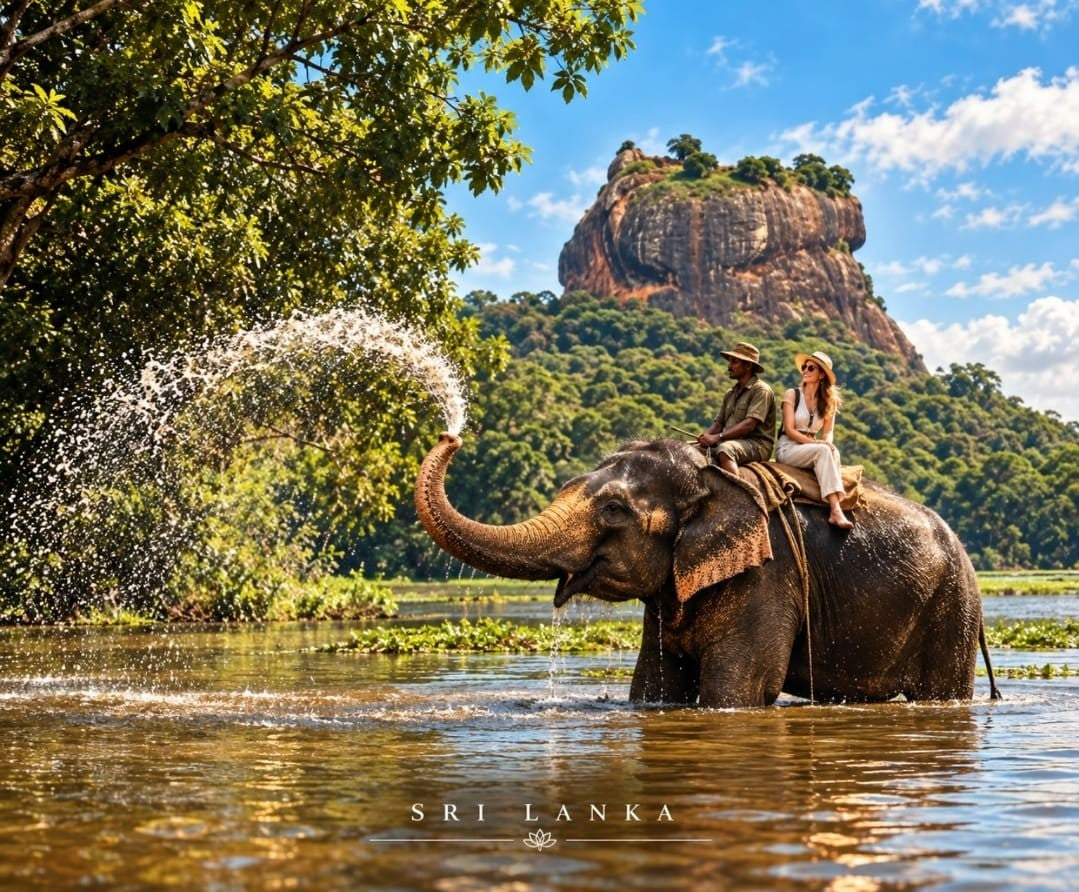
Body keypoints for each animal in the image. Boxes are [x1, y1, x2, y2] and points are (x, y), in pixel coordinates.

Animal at [415, 433, 1001, 708]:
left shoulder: (767, 574)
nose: (451, 436)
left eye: (614, 509)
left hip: (953, 607)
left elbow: (739, 690)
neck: (709, 480)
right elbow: (653, 686)